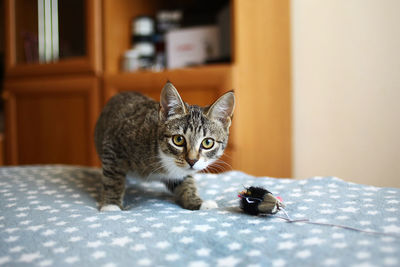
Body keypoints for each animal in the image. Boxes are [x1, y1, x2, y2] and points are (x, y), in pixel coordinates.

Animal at [94, 81, 236, 211]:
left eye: (207, 143)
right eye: (178, 139)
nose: (192, 161)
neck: (163, 156)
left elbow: (185, 182)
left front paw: (198, 202)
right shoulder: (113, 143)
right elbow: (113, 177)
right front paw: (111, 205)